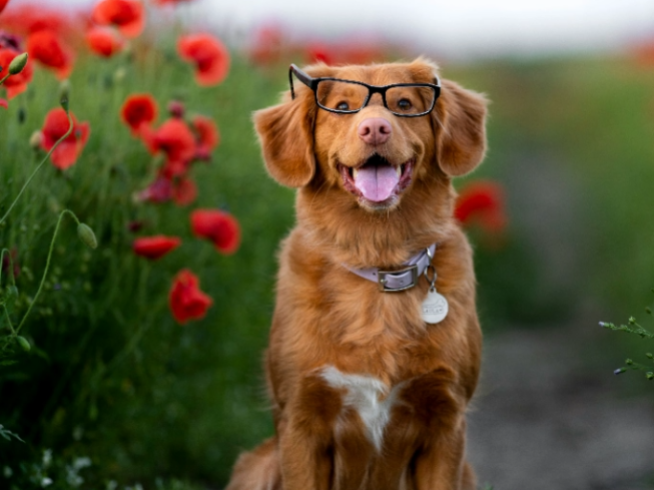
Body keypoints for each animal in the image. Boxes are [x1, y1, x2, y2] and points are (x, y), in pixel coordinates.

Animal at [228, 58, 490, 490]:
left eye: (404, 103)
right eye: (342, 107)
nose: (375, 129)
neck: (380, 261)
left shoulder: (446, 422)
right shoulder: (301, 423)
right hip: (258, 466)